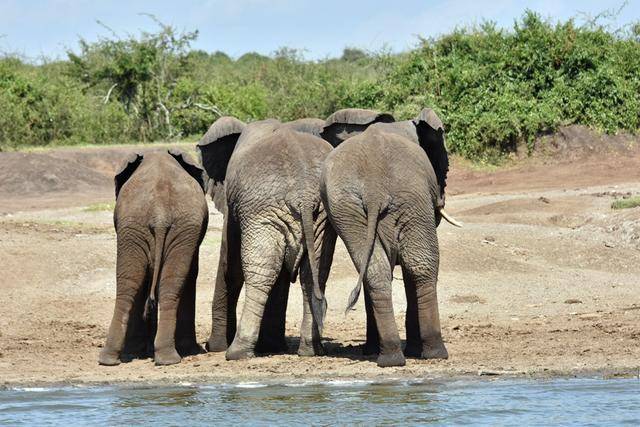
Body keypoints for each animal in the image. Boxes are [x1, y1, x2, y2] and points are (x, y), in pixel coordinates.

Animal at [199, 118, 338, 362]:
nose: (209, 345)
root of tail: (304, 193)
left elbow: (230, 263)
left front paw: (215, 347)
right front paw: (272, 346)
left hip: (262, 211)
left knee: (260, 273)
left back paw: (237, 352)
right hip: (319, 216)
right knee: (314, 274)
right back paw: (310, 350)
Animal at [322, 107, 458, 368]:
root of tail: (374, 186)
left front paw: (372, 350)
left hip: (348, 207)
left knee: (376, 271)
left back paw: (390, 357)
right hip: (412, 197)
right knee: (423, 265)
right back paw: (433, 352)